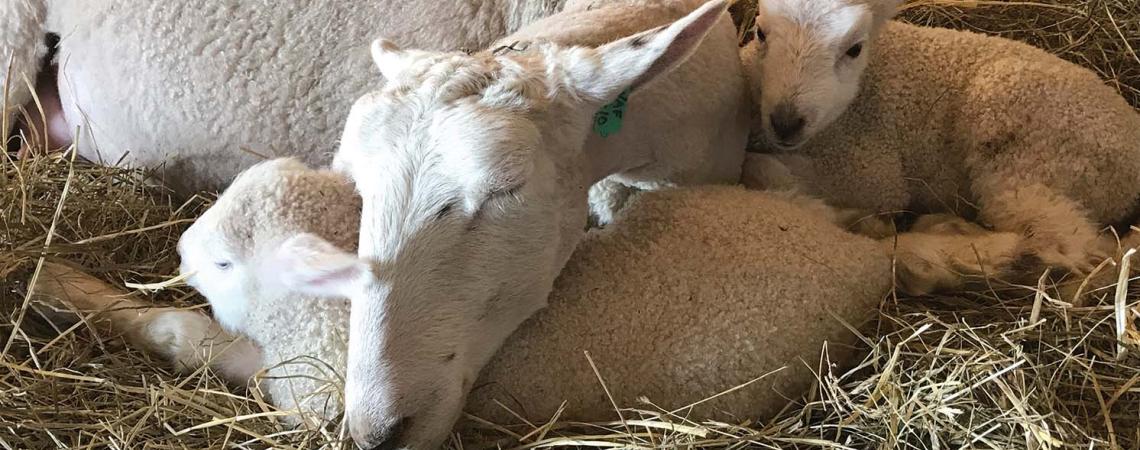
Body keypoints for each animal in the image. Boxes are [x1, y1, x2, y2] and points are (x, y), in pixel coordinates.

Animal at [33, 157, 889, 444]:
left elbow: (186, 334)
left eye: (221, 259)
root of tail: (853, 261)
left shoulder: (306, 390)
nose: (177, 249)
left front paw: (54, 283)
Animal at [734, 0, 1140, 293]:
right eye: (760, 32)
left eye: (854, 49)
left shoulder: (872, 168)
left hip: (1032, 152)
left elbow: (756, 166)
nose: (786, 122)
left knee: (1075, 248)